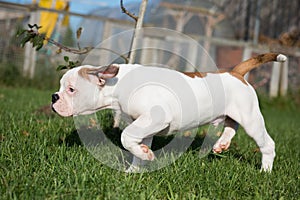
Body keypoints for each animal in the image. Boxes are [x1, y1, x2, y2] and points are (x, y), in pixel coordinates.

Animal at [52, 53, 288, 172]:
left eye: (71, 89)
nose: (54, 97)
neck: (117, 83)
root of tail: (235, 73)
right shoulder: (144, 124)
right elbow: (136, 142)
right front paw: (136, 167)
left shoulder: (154, 118)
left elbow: (126, 136)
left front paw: (143, 157)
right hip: (234, 112)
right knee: (231, 125)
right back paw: (222, 144)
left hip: (251, 118)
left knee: (267, 144)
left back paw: (265, 170)